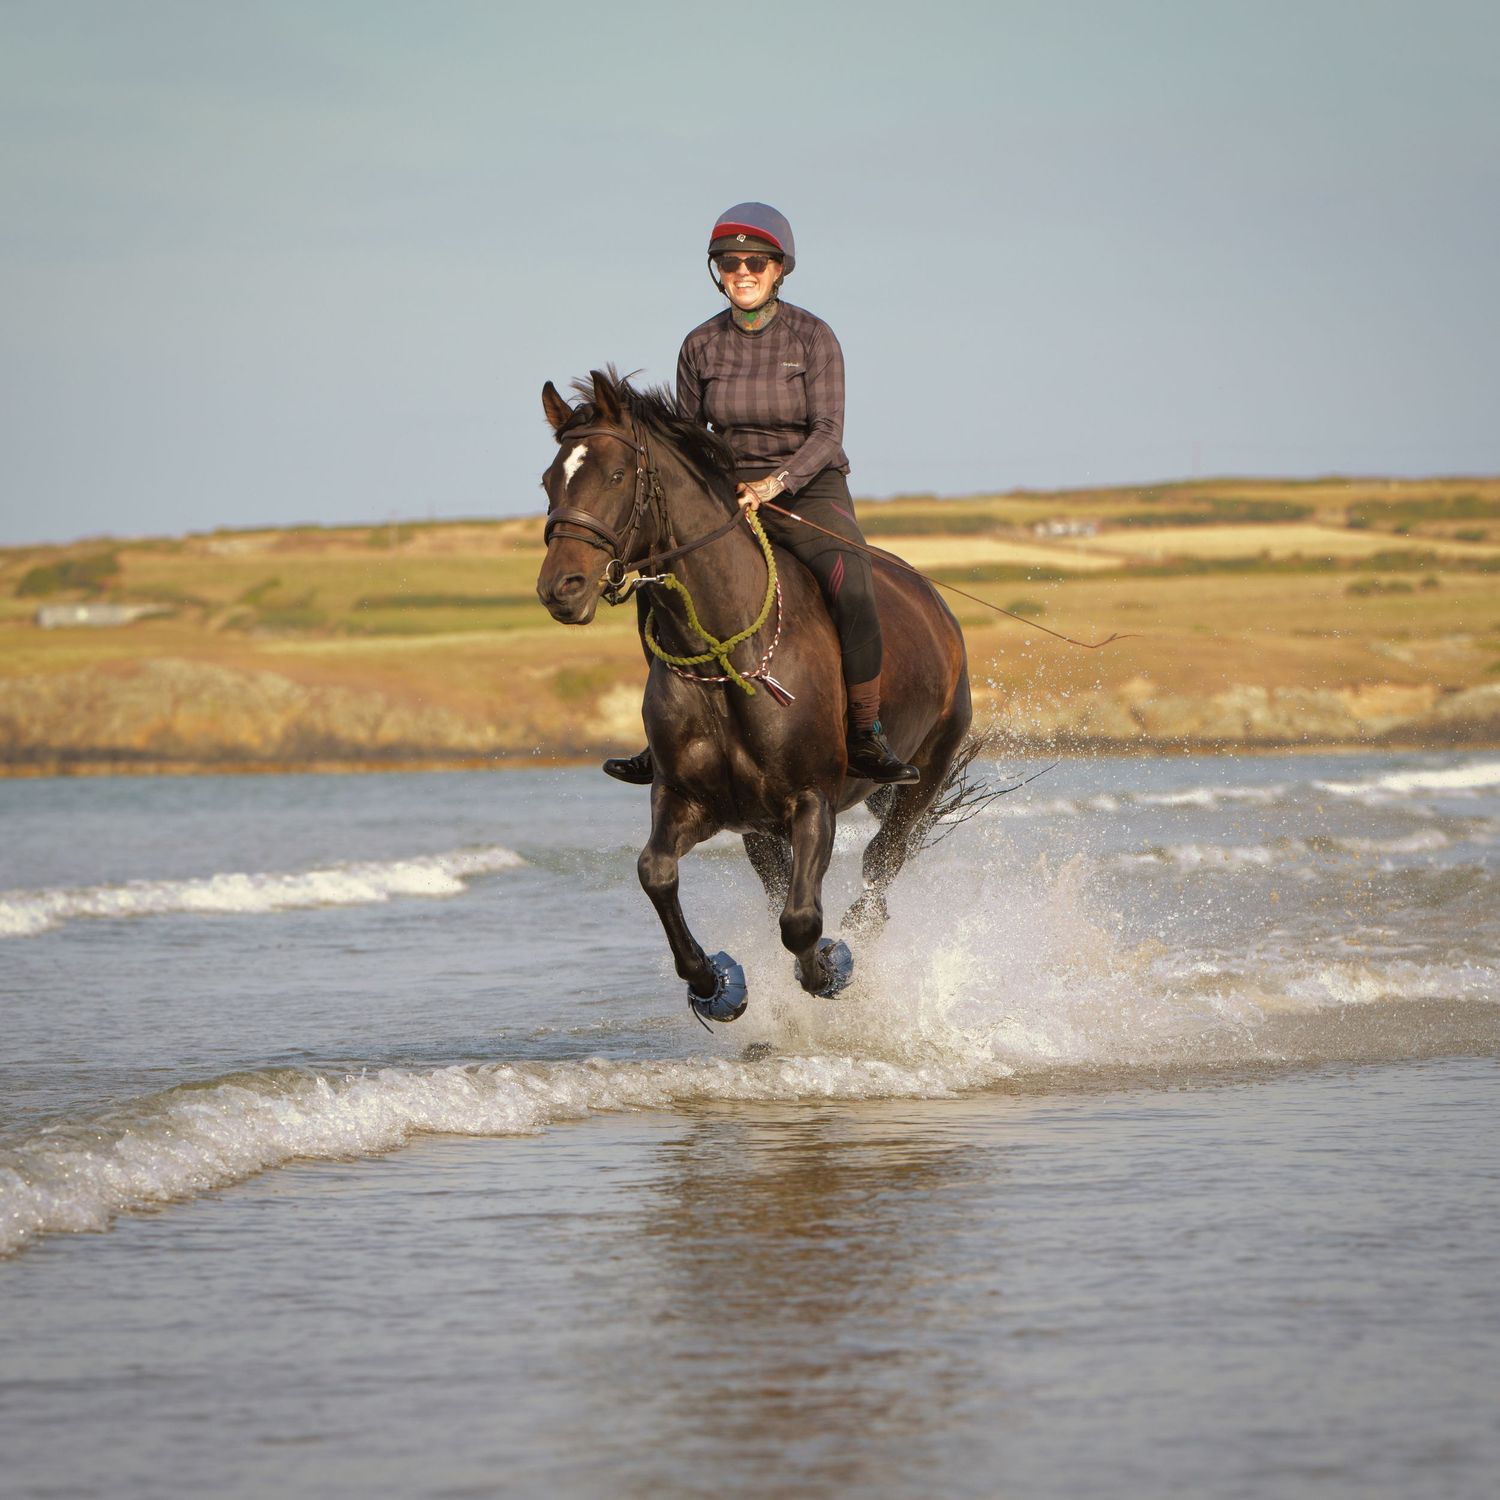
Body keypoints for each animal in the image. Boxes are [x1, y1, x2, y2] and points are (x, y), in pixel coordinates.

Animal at [535, 369, 972, 1024]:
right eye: (549, 480)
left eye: (615, 475)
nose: (561, 589)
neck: (724, 651)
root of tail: (936, 607)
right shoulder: (689, 800)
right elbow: (655, 873)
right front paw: (715, 984)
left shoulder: (812, 801)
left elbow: (802, 921)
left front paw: (829, 968)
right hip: (759, 831)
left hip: (925, 776)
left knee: (879, 863)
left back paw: (859, 941)